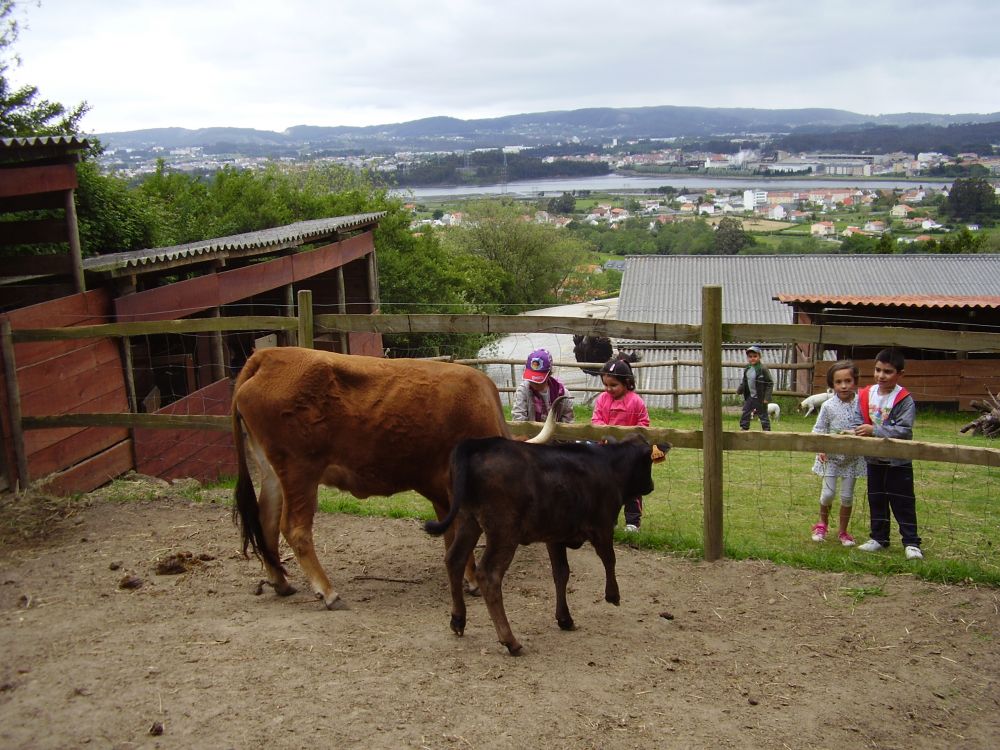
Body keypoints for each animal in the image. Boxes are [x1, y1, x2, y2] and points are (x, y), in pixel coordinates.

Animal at [231, 346, 556, 612]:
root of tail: (268, 357)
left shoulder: (442, 494)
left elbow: (451, 536)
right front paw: (473, 580)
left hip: (272, 473)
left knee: (266, 521)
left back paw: (281, 582)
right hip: (300, 473)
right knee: (294, 528)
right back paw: (328, 592)